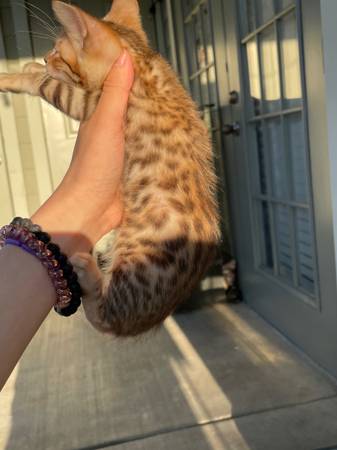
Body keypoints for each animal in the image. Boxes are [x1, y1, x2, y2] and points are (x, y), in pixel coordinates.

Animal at [0, 0, 218, 336]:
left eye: (58, 51)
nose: (44, 57)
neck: (143, 63)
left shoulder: (92, 103)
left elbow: (51, 86)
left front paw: (16, 77)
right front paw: (29, 68)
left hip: (136, 269)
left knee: (105, 317)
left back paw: (89, 274)